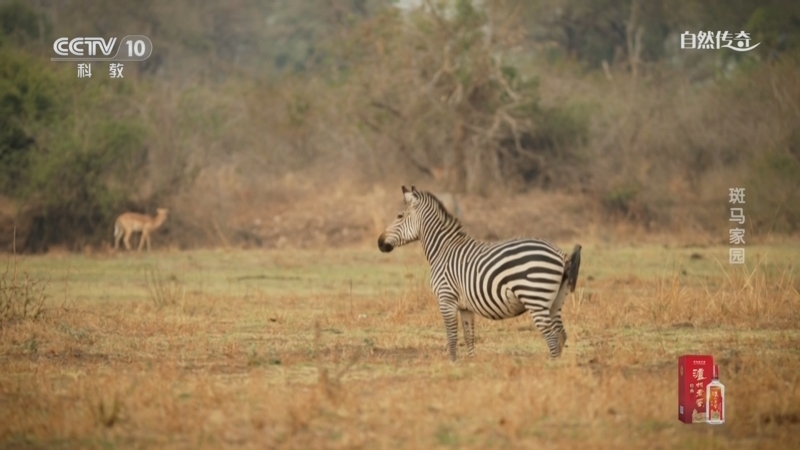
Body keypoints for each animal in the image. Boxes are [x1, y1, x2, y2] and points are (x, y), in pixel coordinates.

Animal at [378, 185, 580, 360]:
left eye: (399, 215)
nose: (380, 243)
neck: (442, 249)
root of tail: (560, 254)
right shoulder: (465, 307)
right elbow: (469, 337)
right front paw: (471, 365)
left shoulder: (446, 299)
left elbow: (451, 337)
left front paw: (453, 364)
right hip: (555, 302)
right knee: (561, 334)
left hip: (536, 299)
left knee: (552, 337)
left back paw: (550, 367)